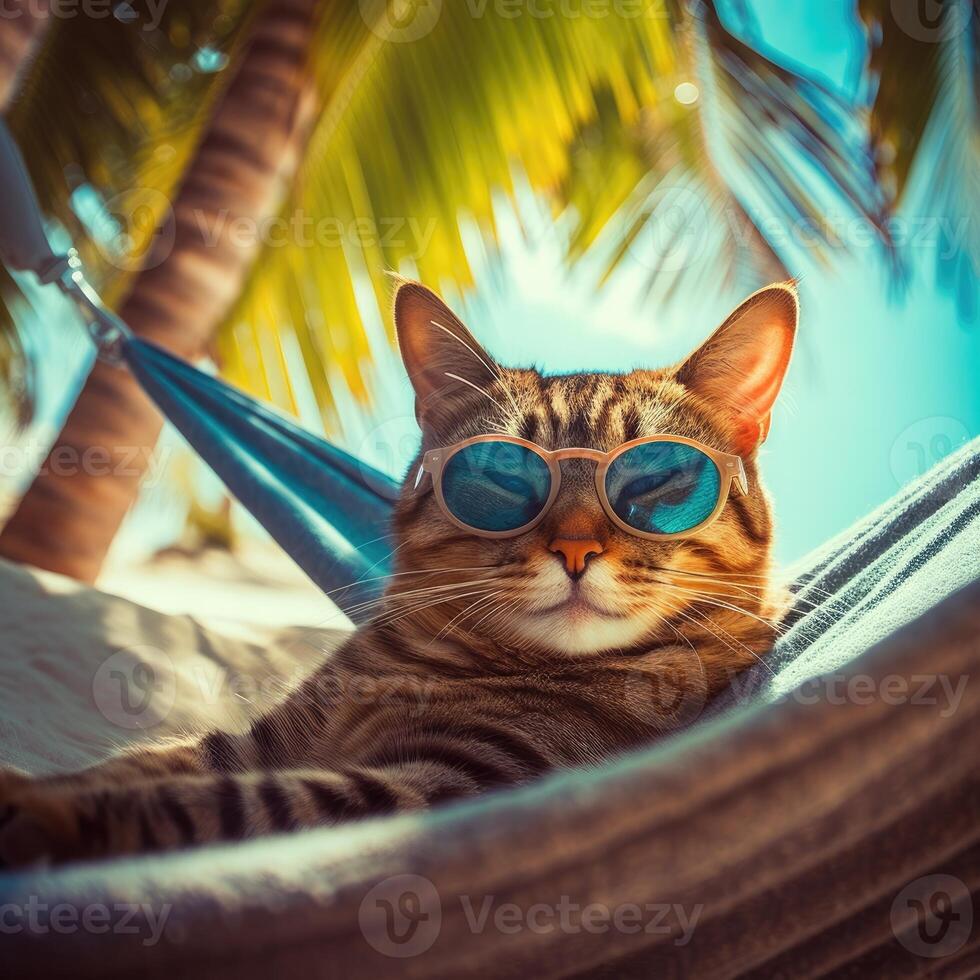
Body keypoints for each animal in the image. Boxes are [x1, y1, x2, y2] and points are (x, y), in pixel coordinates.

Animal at [0, 276, 796, 864]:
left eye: (656, 484)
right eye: (500, 478)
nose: (575, 550)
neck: (424, 669)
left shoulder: (450, 784)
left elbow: (206, 801)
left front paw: (42, 809)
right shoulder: (263, 742)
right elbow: (149, 763)